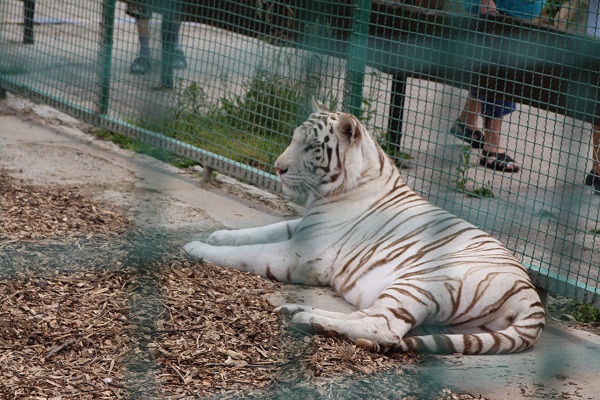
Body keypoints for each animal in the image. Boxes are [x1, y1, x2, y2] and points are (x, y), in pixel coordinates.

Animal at [185, 99, 548, 354]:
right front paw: (216, 235)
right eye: (293, 139)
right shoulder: (301, 227)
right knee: (372, 319)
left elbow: (249, 252)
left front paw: (196, 246)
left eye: (311, 147)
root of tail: (532, 299)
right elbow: (256, 233)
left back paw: (306, 319)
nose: (277, 167)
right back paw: (297, 310)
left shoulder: (302, 255)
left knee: (384, 327)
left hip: (421, 282)